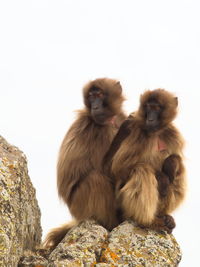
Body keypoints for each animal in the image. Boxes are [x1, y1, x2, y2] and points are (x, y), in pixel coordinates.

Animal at [43, 77, 126, 249]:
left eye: (99, 95)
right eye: (91, 96)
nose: (95, 107)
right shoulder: (100, 131)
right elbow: (108, 170)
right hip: (80, 205)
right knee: (95, 179)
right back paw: (110, 224)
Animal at [104, 89, 187, 234]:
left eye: (157, 108)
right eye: (148, 107)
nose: (150, 119)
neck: (156, 132)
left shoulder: (172, 134)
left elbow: (175, 157)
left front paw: (171, 164)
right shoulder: (133, 128)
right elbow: (120, 168)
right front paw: (162, 178)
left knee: (179, 167)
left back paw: (163, 216)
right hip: (121, 203)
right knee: (142, 170)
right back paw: (148, 221)